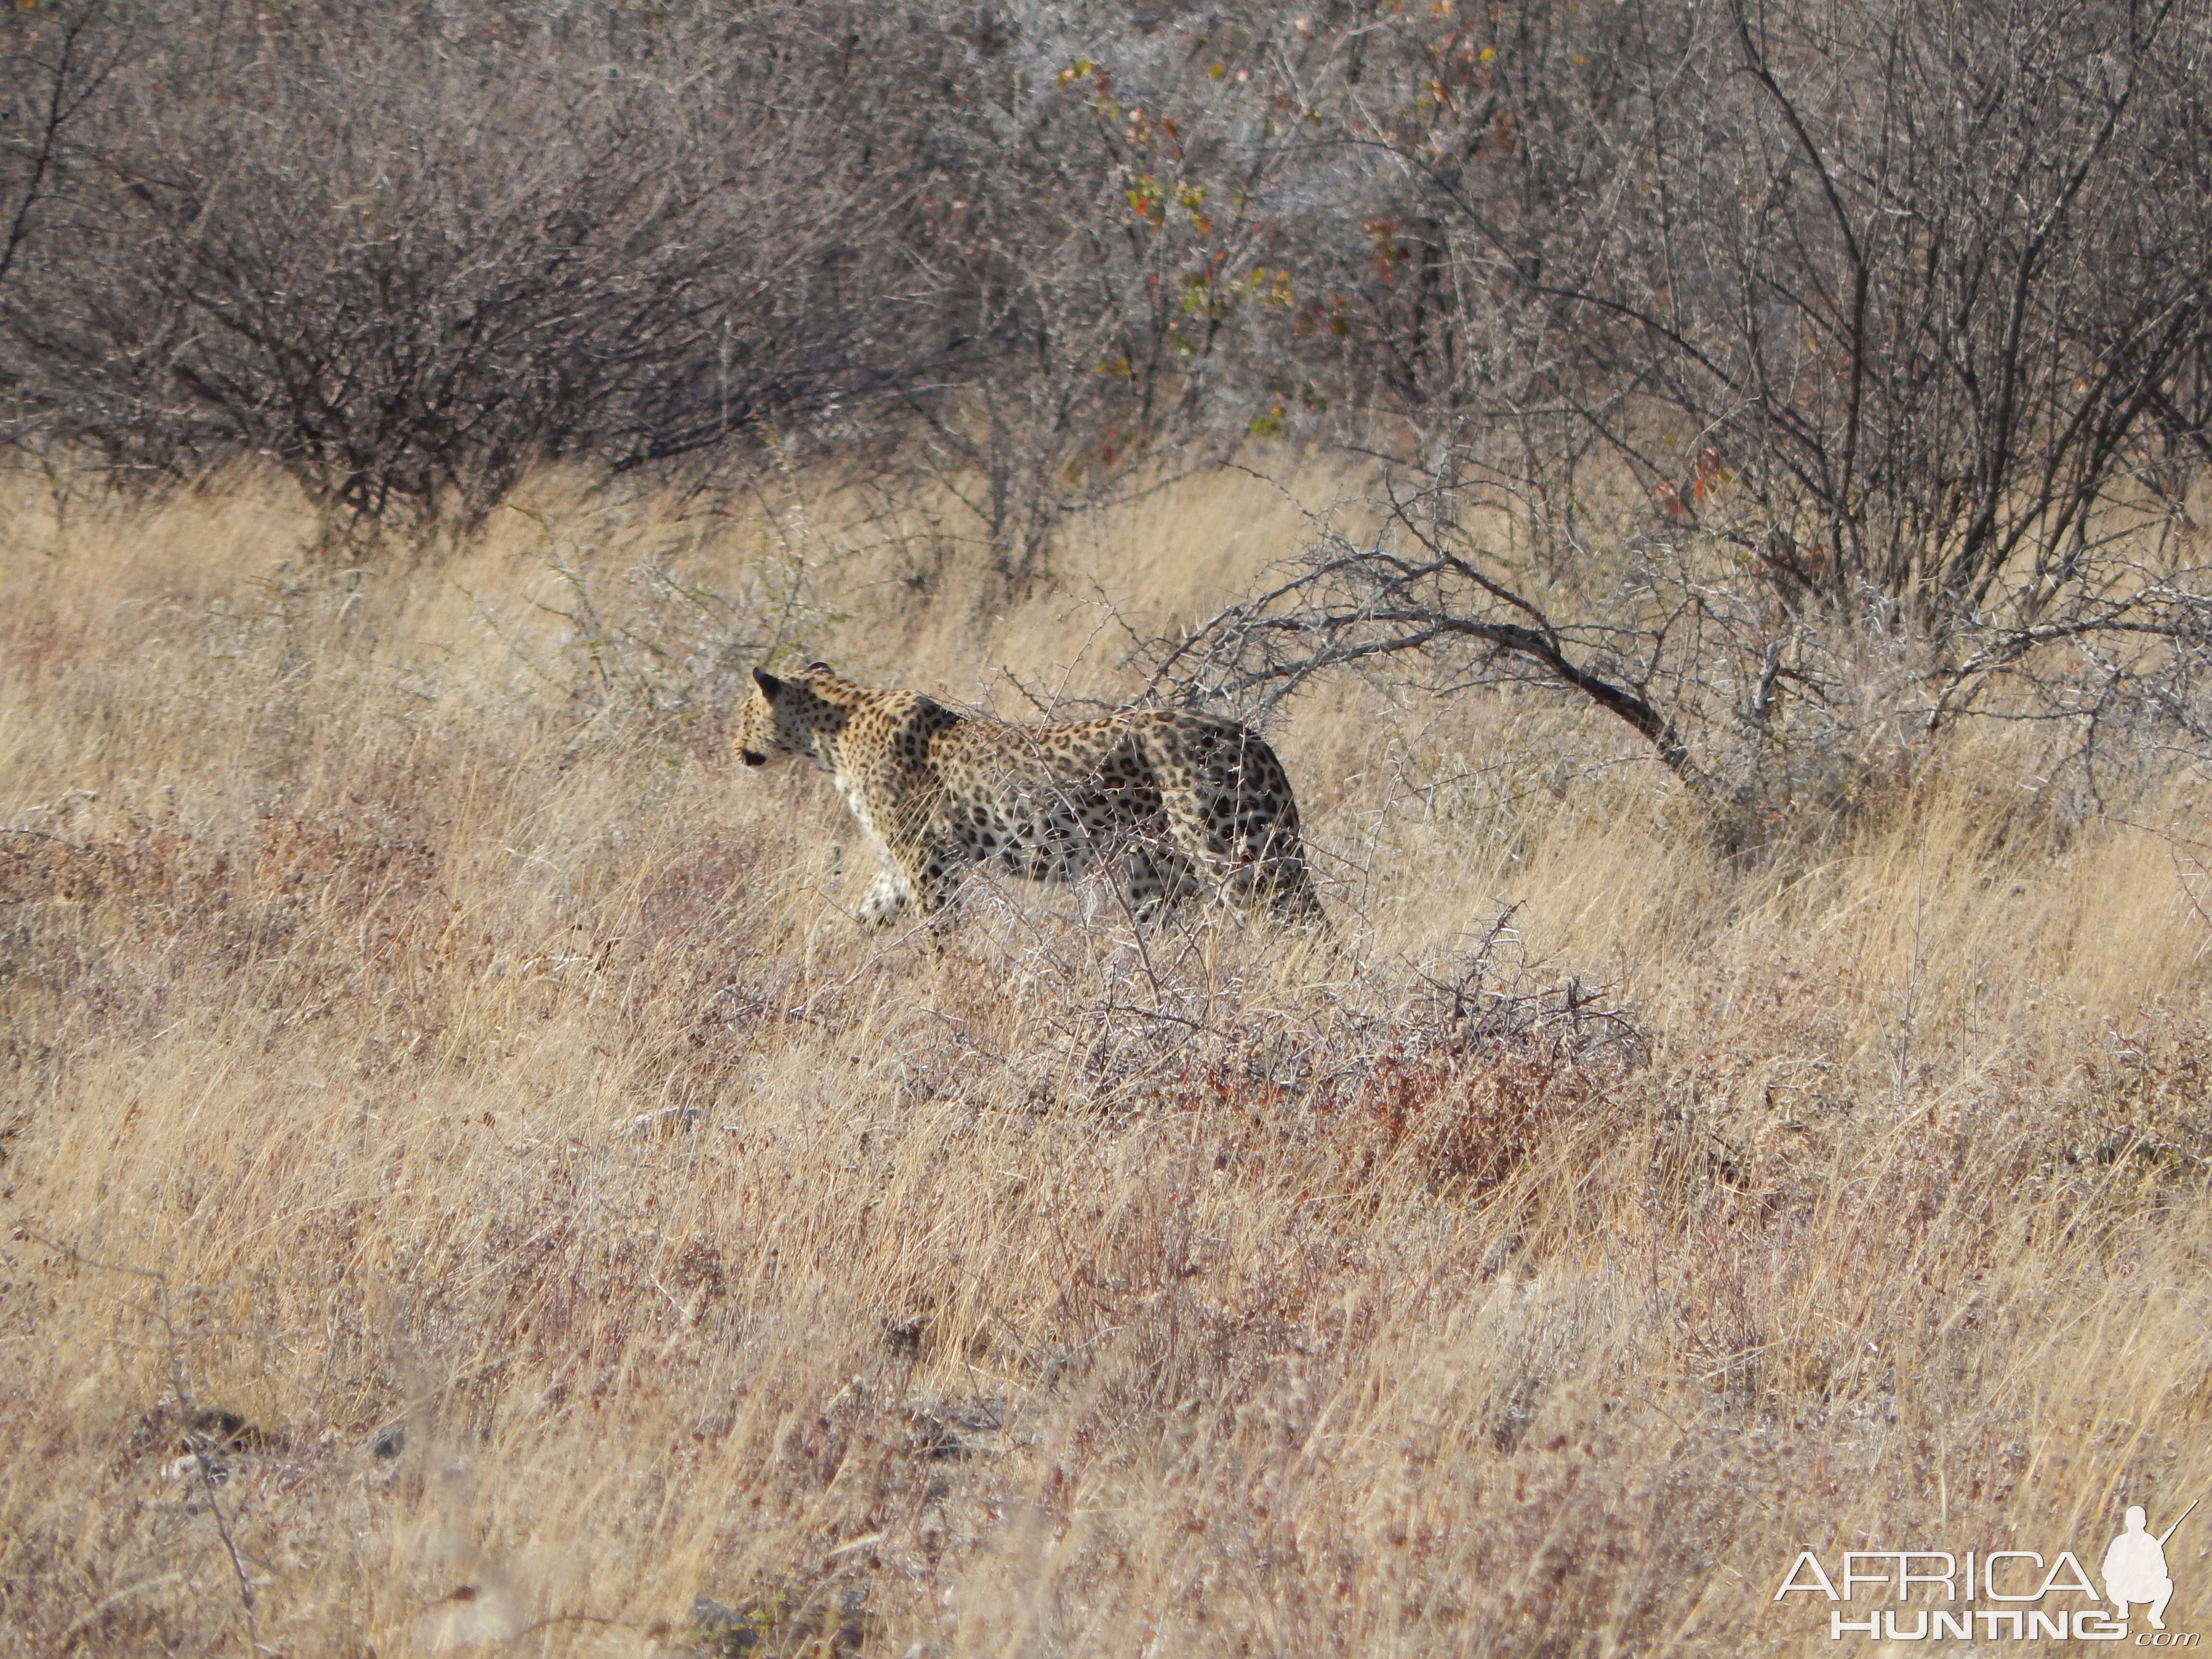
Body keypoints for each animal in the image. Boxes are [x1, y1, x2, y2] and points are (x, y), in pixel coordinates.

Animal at [734, 668, 1318, 929]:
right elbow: (867, 913)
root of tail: (1248, 734)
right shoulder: (902, 867)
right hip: (1157, 872)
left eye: (743, 711)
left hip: (1235, 853)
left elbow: (941, 937)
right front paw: (825, 958)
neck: (831, 736)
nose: (735, 747)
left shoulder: (927, 861)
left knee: (1298, 929)